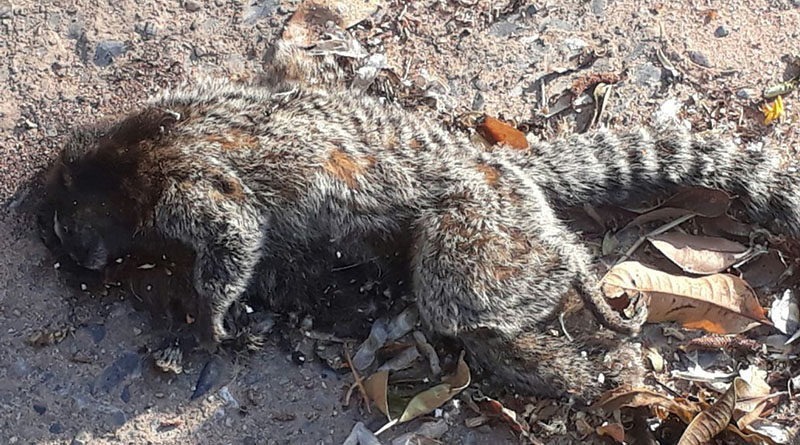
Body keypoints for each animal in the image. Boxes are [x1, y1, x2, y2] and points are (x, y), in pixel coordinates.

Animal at [40, 42, 800, 401]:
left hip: (480, 213)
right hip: (504, 216)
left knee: (460, 294)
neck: (126, 162)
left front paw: (204, 320)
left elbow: (234, 232)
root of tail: (490, 159)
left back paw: (573, 305)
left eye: (68, 229)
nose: (78, 260)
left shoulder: (182, 182)